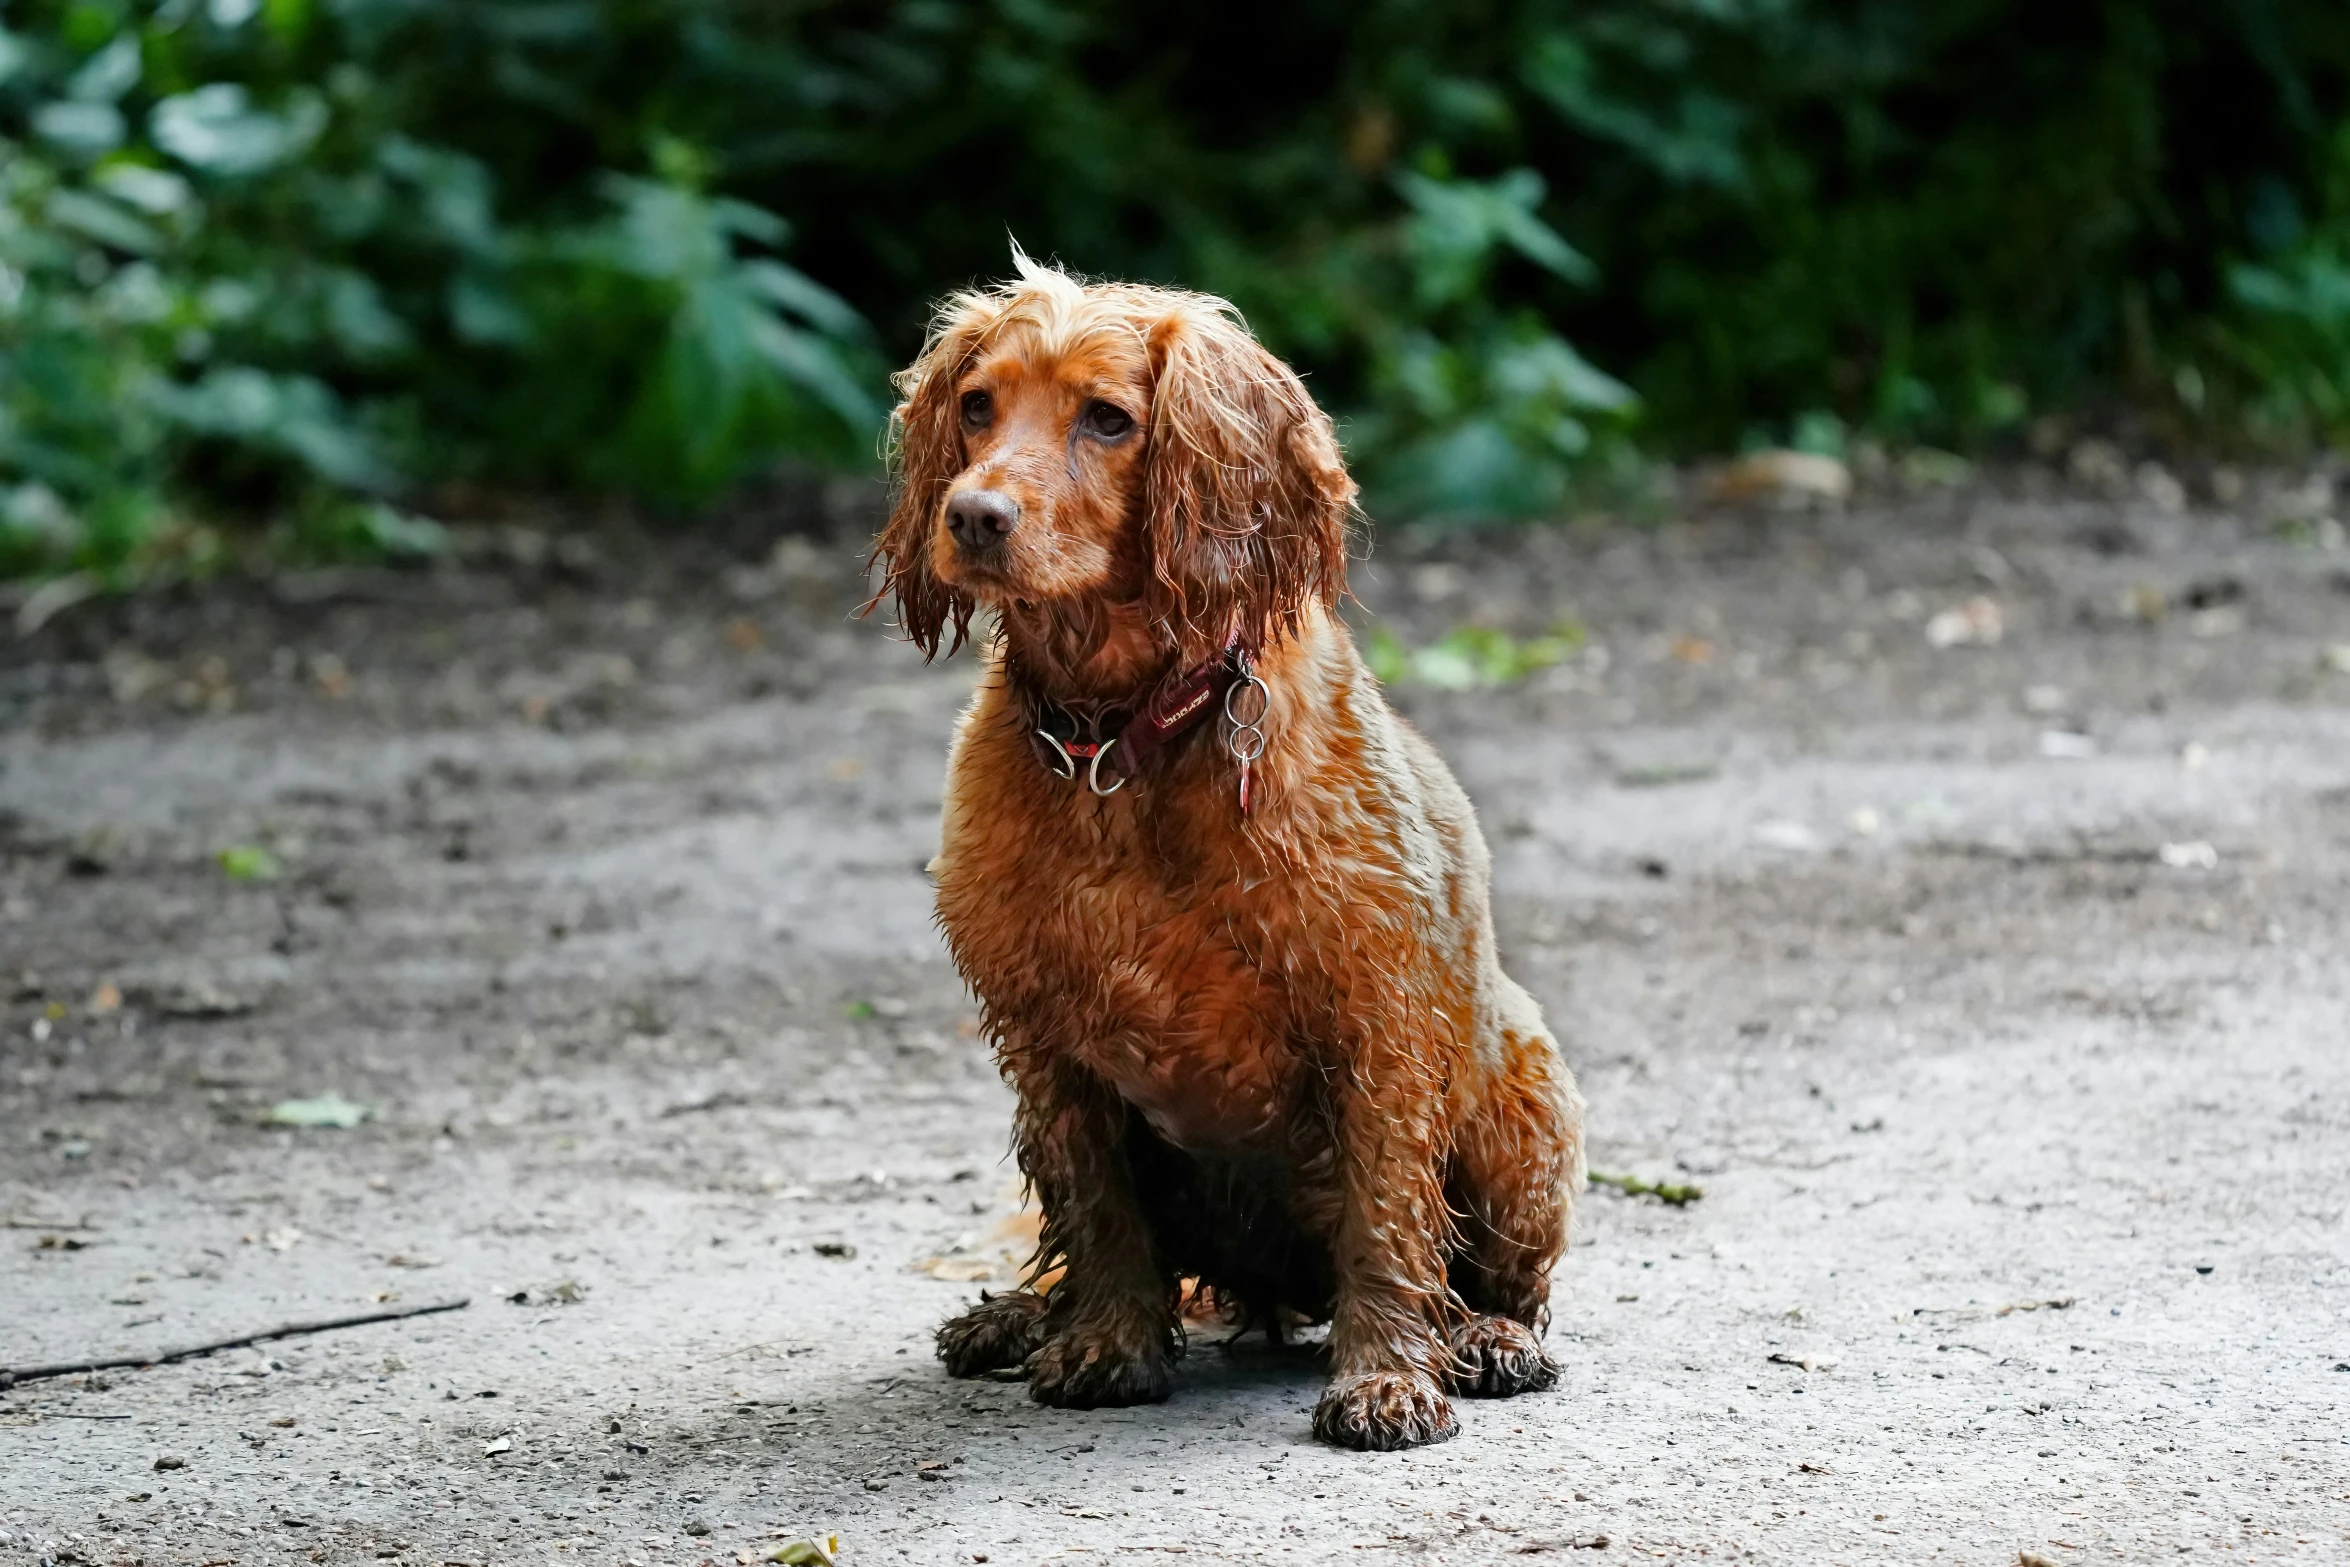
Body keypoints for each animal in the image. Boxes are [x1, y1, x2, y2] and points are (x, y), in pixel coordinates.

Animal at [864, 260, 1579, 1456]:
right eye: (977, 405)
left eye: (1108, 419)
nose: (972, 515)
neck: (1120, 746)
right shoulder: (1042, 1039)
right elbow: (1098, 1207)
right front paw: (1105, 1340)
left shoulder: (1375, 1013)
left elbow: (1389, 1213)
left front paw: (1387, 1374)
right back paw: (1022, 1316)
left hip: (1524, 1090)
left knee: (1505, 1280)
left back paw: (1483, 1336)